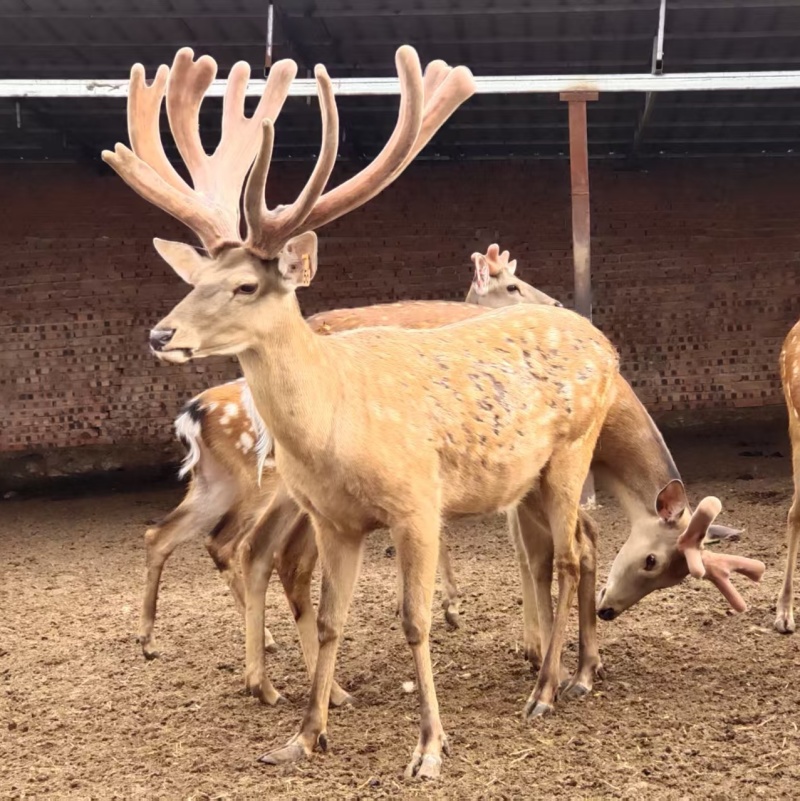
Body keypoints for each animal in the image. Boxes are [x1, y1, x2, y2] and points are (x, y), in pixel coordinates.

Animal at [137, 244, 561, 667]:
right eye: (512, 285)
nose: (556, 304)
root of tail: (189, 417)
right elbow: (517, 545)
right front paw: (518, 639)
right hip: (260, 485)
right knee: (240, 546)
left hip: (215, 483)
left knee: (167, 534)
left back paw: (151, 640)